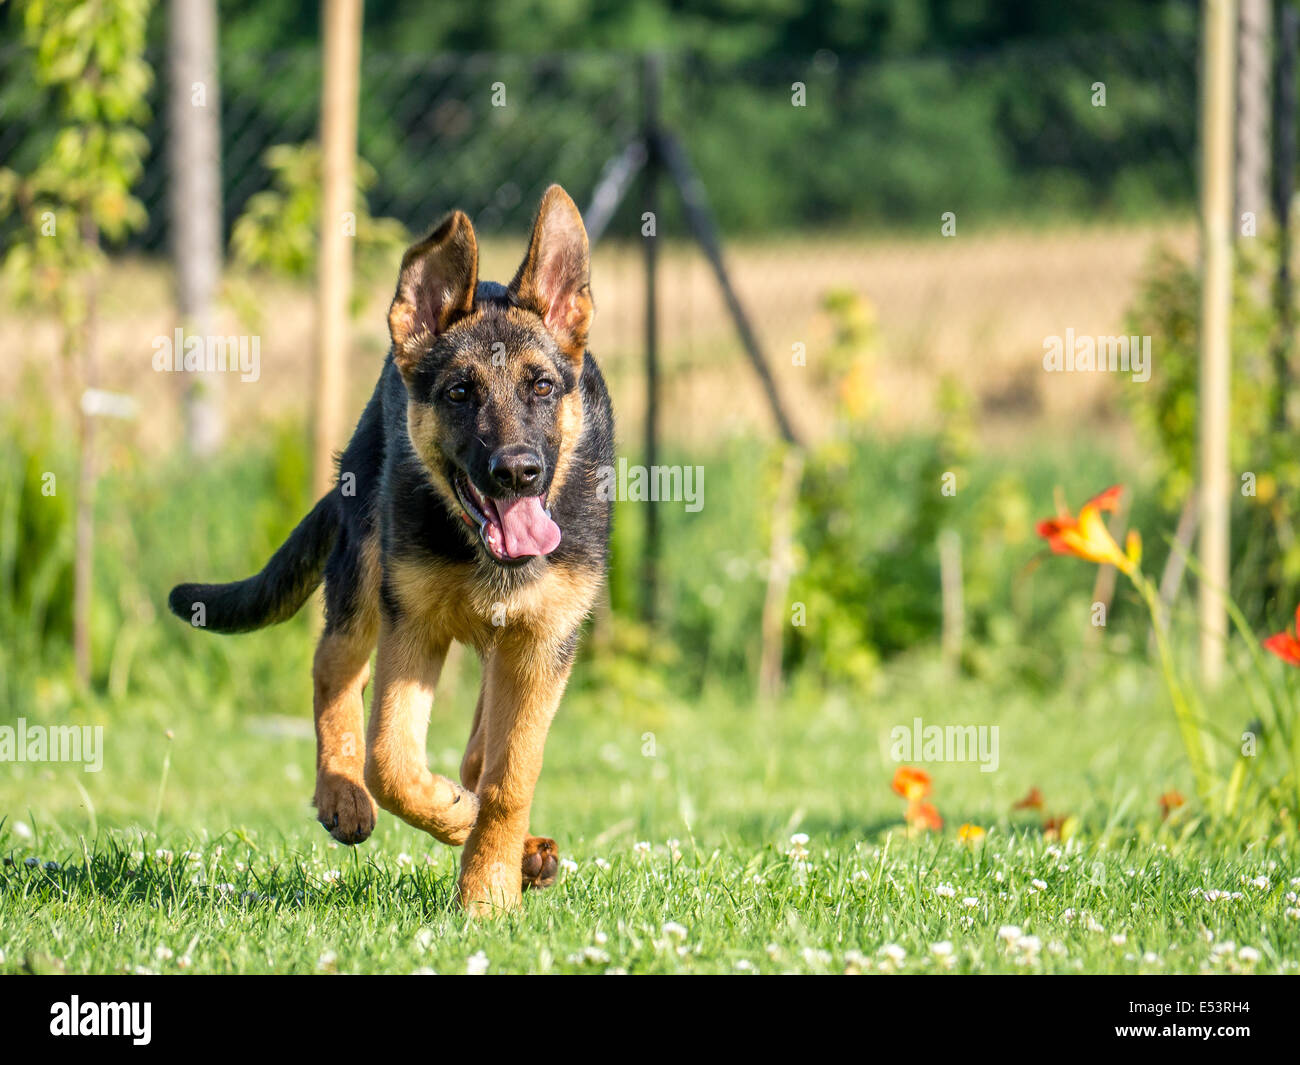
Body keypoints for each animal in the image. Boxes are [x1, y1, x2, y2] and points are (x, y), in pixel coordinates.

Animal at [170, 187, 611, 910]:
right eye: (460, 392)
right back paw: (342, 793)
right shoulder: (414, 626)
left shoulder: (542, 642)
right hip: (364, 563)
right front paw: (458, 822)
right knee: (335, 666)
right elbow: (394, 763)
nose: (518, 472)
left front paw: (489, 889)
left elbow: (508, 774)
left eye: (542, 387)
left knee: (478, 750)